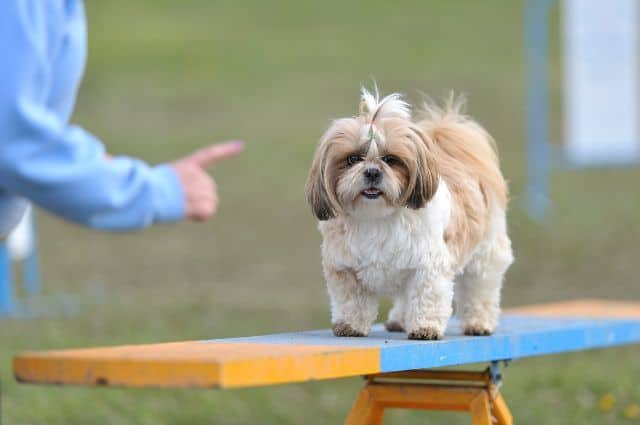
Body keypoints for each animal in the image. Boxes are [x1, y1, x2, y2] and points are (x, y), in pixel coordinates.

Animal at [306, 88, 516, 340]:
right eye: (353, 159)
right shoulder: (344, 268)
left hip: (485, 253)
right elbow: (352, 301)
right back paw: (399, 320)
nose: (372, 171)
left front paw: (425, 328)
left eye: (390, 160)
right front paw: (350, 325)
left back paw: (479, 323)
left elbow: (427, 297)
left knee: (480, 288)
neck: (377, 217)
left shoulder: (428, 267)